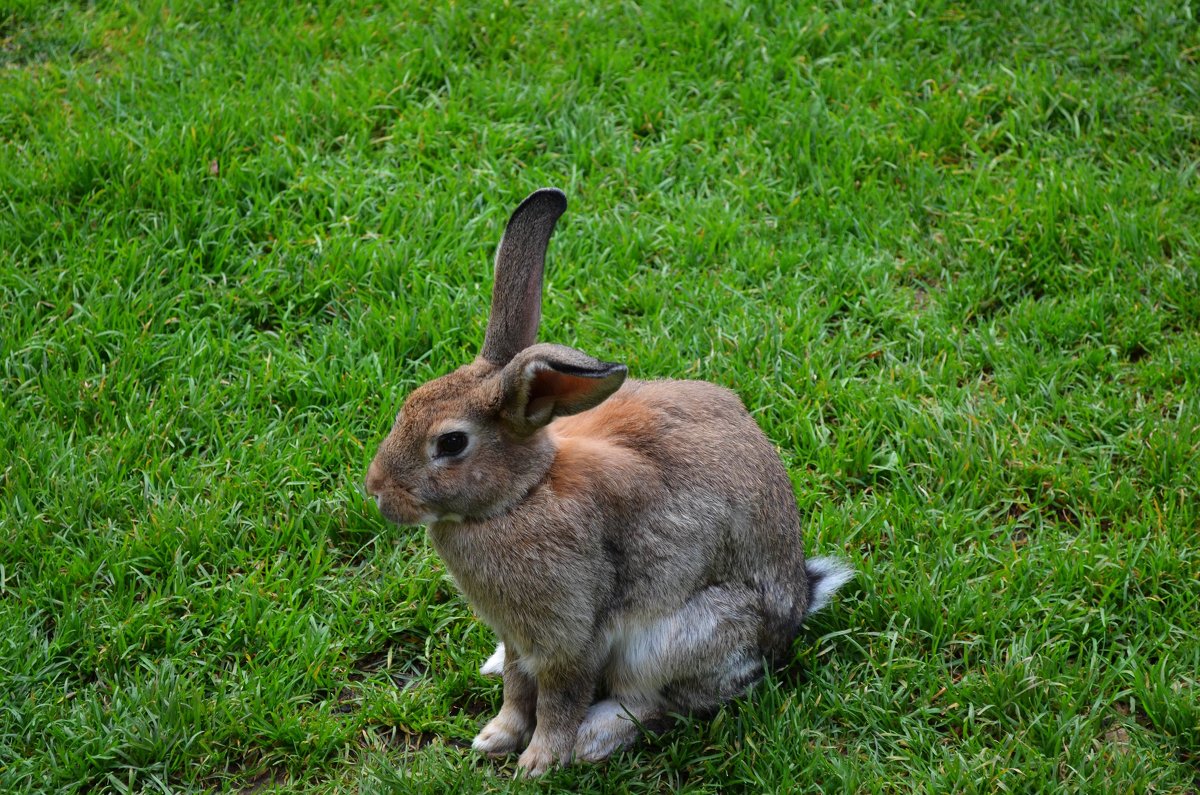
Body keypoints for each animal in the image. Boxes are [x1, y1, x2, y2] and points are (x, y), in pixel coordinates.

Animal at [364, 188, 854, 778]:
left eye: (452, 443)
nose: (376, 490)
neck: (523, 495)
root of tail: (794, 611)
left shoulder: (572, 635)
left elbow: (559, 699)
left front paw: (537, 762)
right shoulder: (520, 636)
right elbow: (516, 689)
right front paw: (494, 738)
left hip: (674, 640)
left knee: (654, 703)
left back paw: (592, 741)